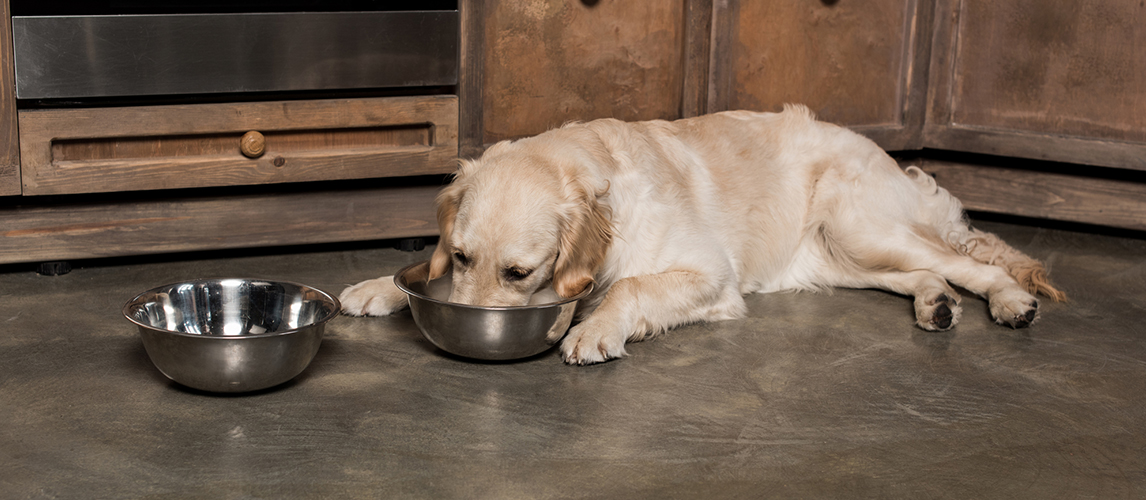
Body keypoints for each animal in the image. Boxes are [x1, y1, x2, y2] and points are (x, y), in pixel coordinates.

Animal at [339, 105, 1063, 362]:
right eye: (461, 256)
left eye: (520, 273)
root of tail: (889, 154)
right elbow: (419, 274)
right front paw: (378, 286)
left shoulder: (710, 275)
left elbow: (628, 289)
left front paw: (595, 330)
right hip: (840, 259)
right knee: (926, 273)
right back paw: (935, 304)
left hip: (865, 226)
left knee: (971, 263)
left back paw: (1010, 302)